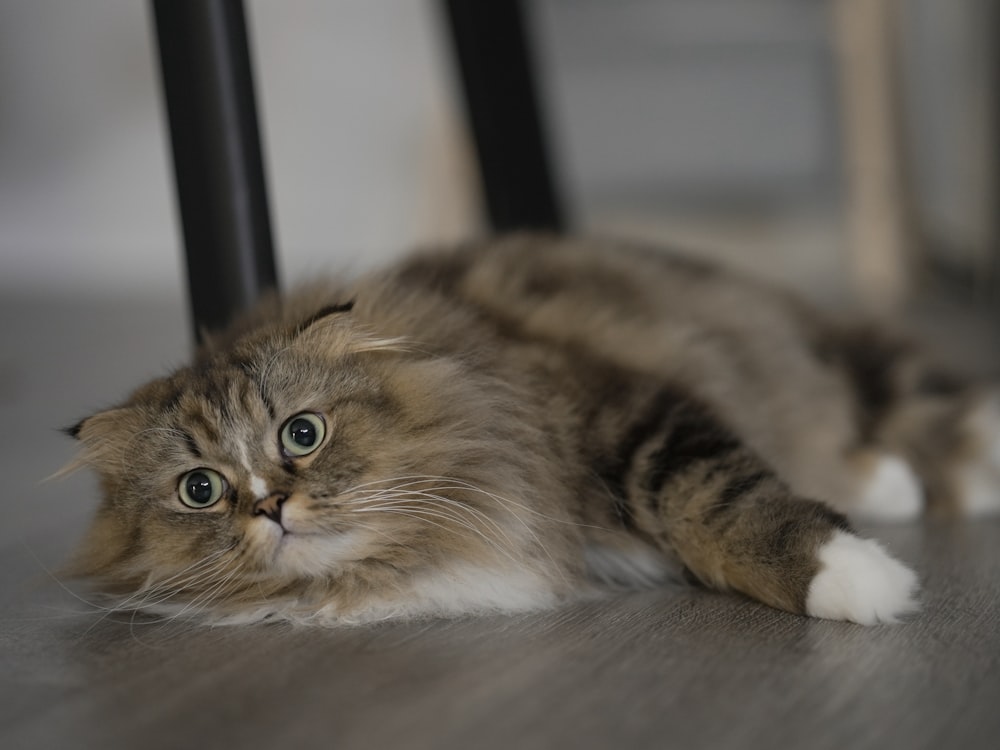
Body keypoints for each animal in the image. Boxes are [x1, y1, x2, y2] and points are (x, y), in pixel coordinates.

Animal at [62, 235, 1000, 628]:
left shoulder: (632, 418)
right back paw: (890, 480)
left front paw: (861, 581)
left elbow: (722, 501)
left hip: (821, 354)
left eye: (301, 434)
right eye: (201, 489)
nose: (269, 508)